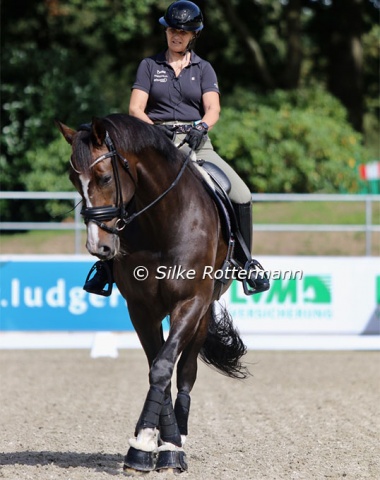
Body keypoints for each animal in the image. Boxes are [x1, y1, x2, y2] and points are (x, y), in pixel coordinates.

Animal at [55, 113, 246, 476]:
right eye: (74, 179)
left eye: (104, 177)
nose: (98, 246)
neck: (164, 222)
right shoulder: (141, 309)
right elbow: (156, 367)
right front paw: (147, 444)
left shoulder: (191, 302)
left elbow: (166, 367)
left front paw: (165, 448)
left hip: (203, 312)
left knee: (186, 372)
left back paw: (180, 436)